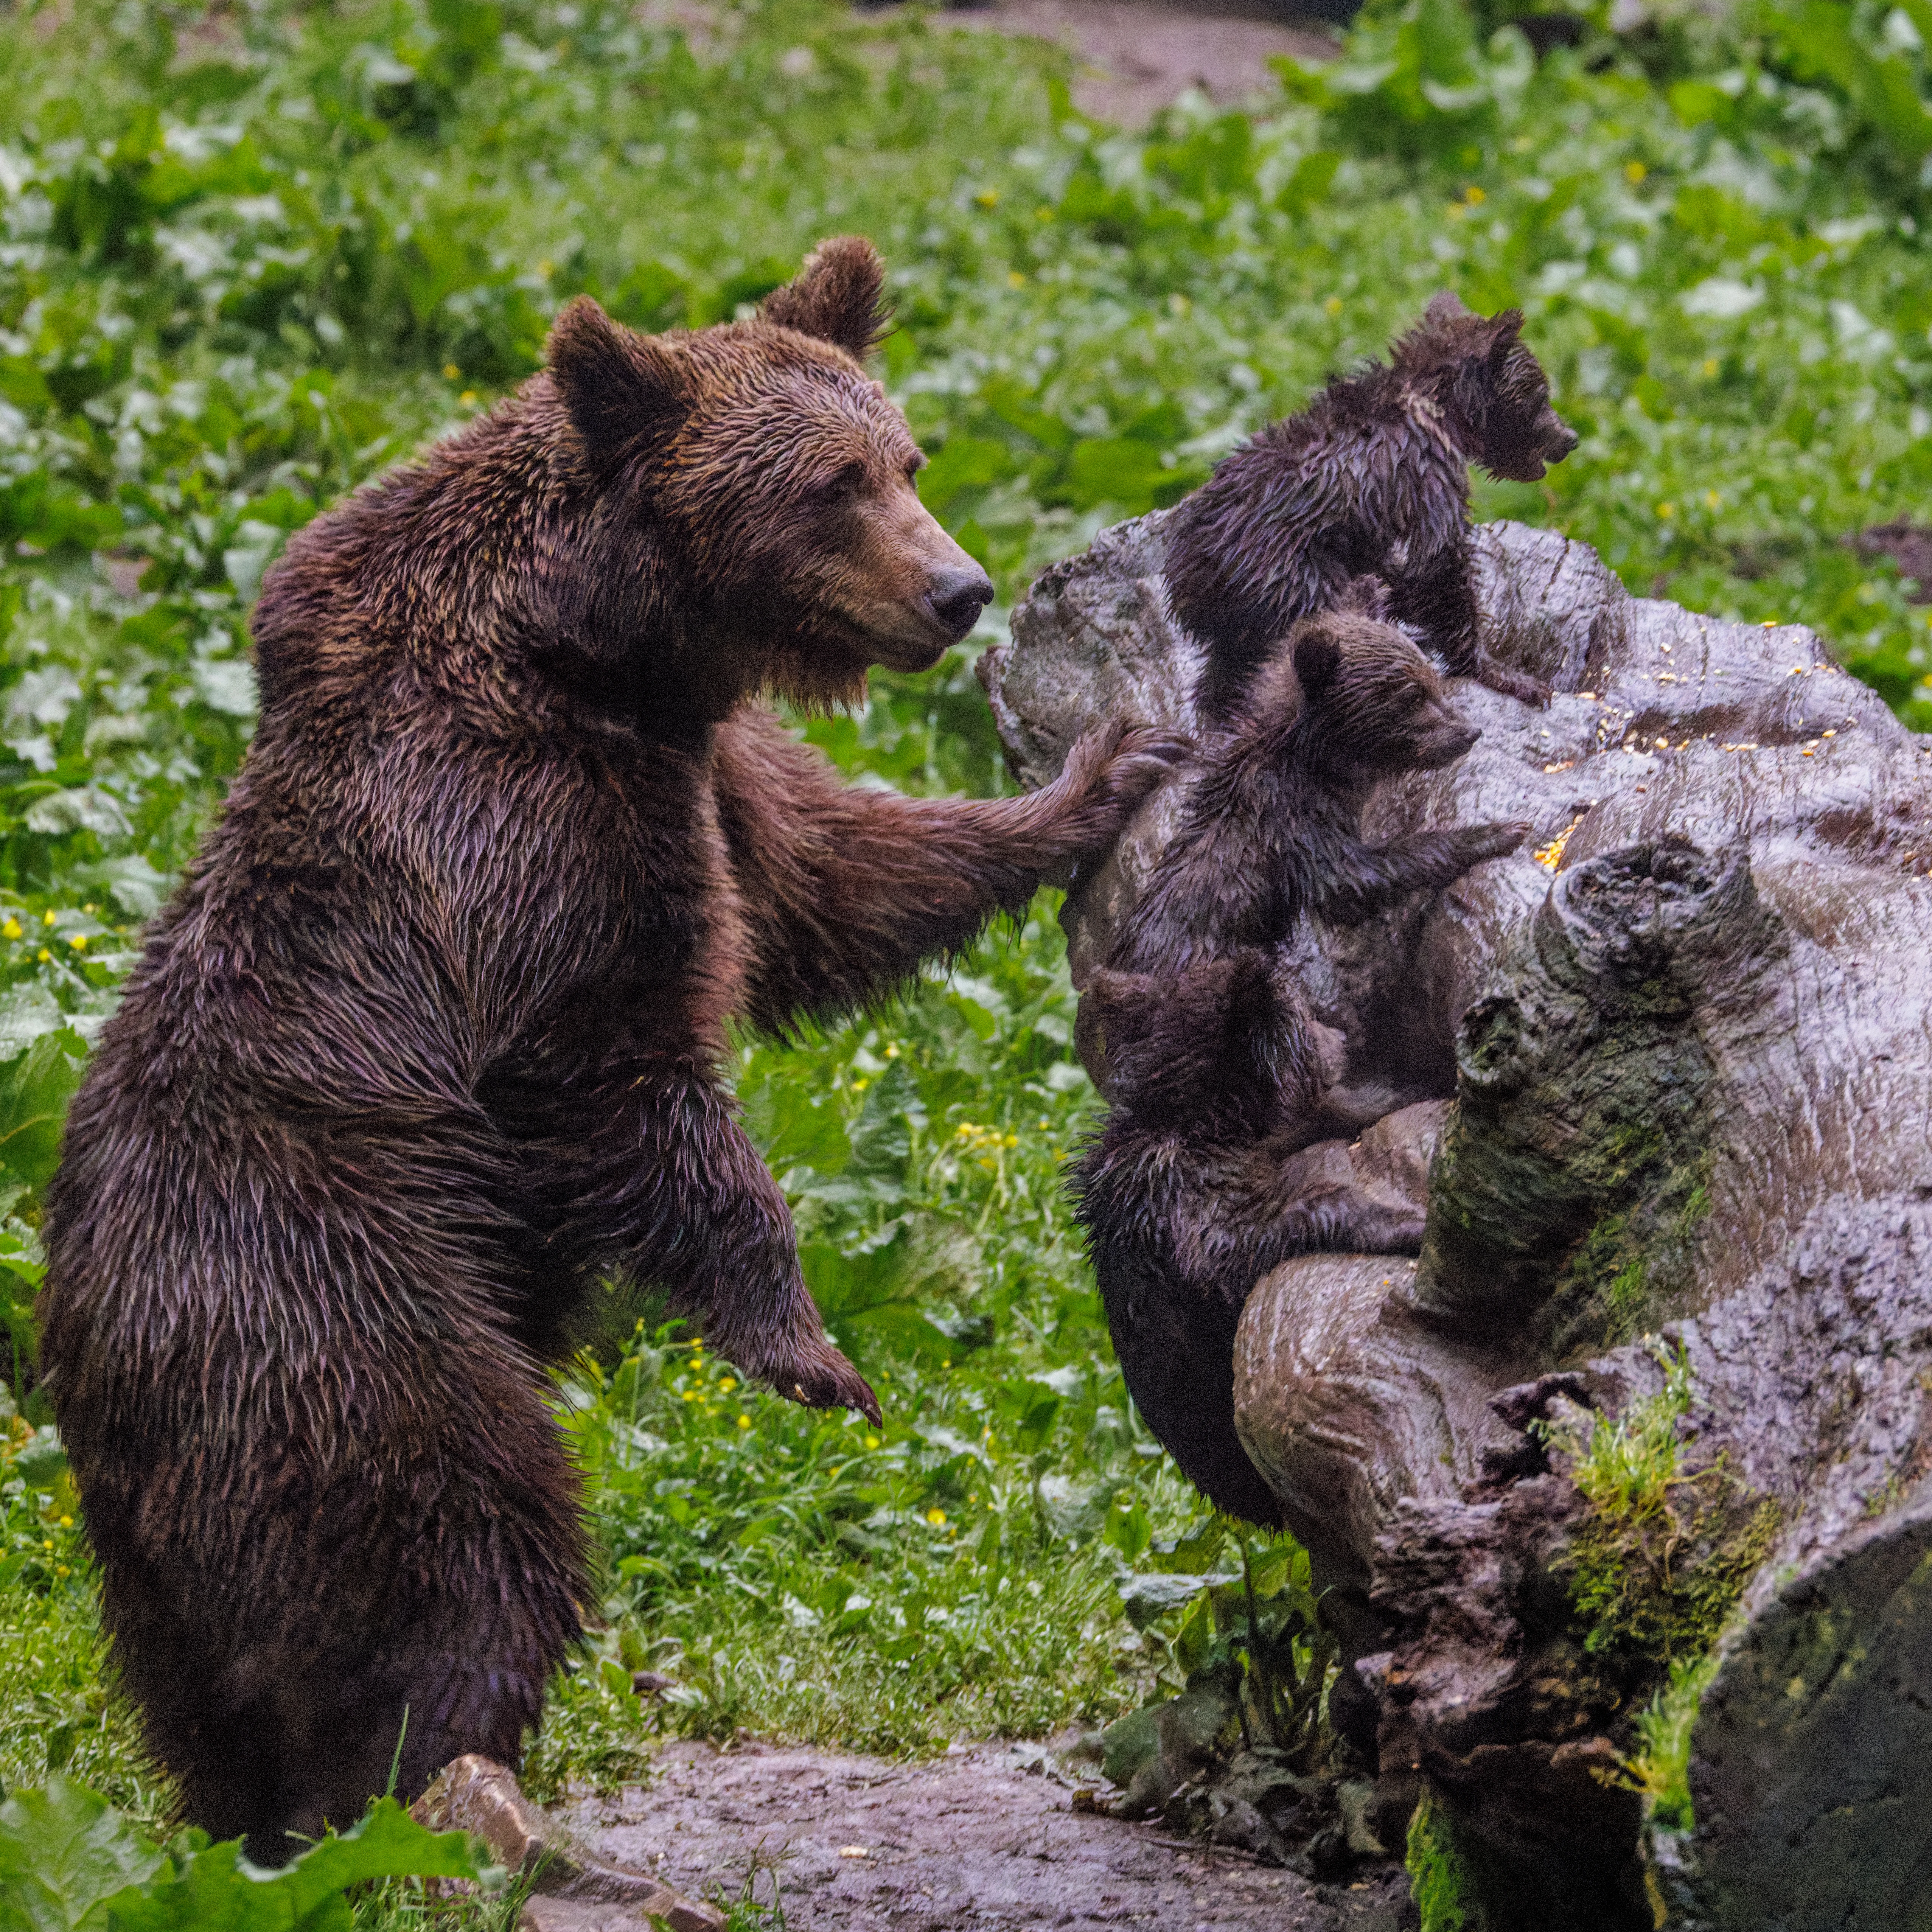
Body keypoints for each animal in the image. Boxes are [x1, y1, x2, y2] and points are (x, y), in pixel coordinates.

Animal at [38, 236, 1176, 1869]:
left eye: (905, 456)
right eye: (830, 483)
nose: (956, 590)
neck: (600, 649)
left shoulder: (698, 769)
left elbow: (838, 876)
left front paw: (1099, 773)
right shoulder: (523, 837)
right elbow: (623, 1076)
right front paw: (815, 1358)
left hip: (153, 1536)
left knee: (208, 1679)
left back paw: (280, 1812)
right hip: (350, 1305)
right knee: (466, 1522)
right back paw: (461, 1788)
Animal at [1071, 949, 1427, 1527]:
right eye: (1305, 1014)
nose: (1341, 1033)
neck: (1206, 1119)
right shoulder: (1184, 1204)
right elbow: (1243, 1246)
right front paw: (1403, 1221)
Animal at [1108, 582, 1531, 980]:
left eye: (1432, 678)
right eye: (1412, 696)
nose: (1469, 732)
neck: (1317, 767)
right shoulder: (1290, 822)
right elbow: (1350, 882)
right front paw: (1501, 831)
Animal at [1161, 293, 1578, 719]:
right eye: (1542, 396)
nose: (1571, 437)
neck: (1441, 411)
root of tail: (1191, 571)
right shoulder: (1426, 473)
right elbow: (1440, 560)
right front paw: (1506, 674)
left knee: (1225, 676)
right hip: (1286, 575)